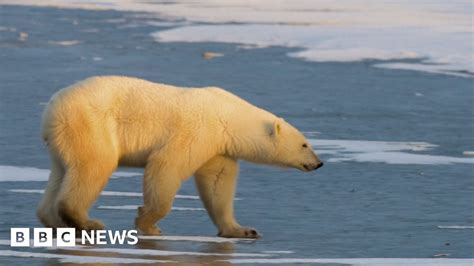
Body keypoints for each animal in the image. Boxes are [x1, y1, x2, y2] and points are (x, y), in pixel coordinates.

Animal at [37, 76, 322, 238]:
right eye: (305, 144)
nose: (318, 163)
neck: (228, 116)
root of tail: (51, 109)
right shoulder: (197, 130)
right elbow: (166, 166)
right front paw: (148, 222)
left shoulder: (218, 147)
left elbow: (218, 183)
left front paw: (242, 230)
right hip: (91, 124)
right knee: (95, 165)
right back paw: (86, 222)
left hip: (64, 138)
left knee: (62, 172)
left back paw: (54, 220)